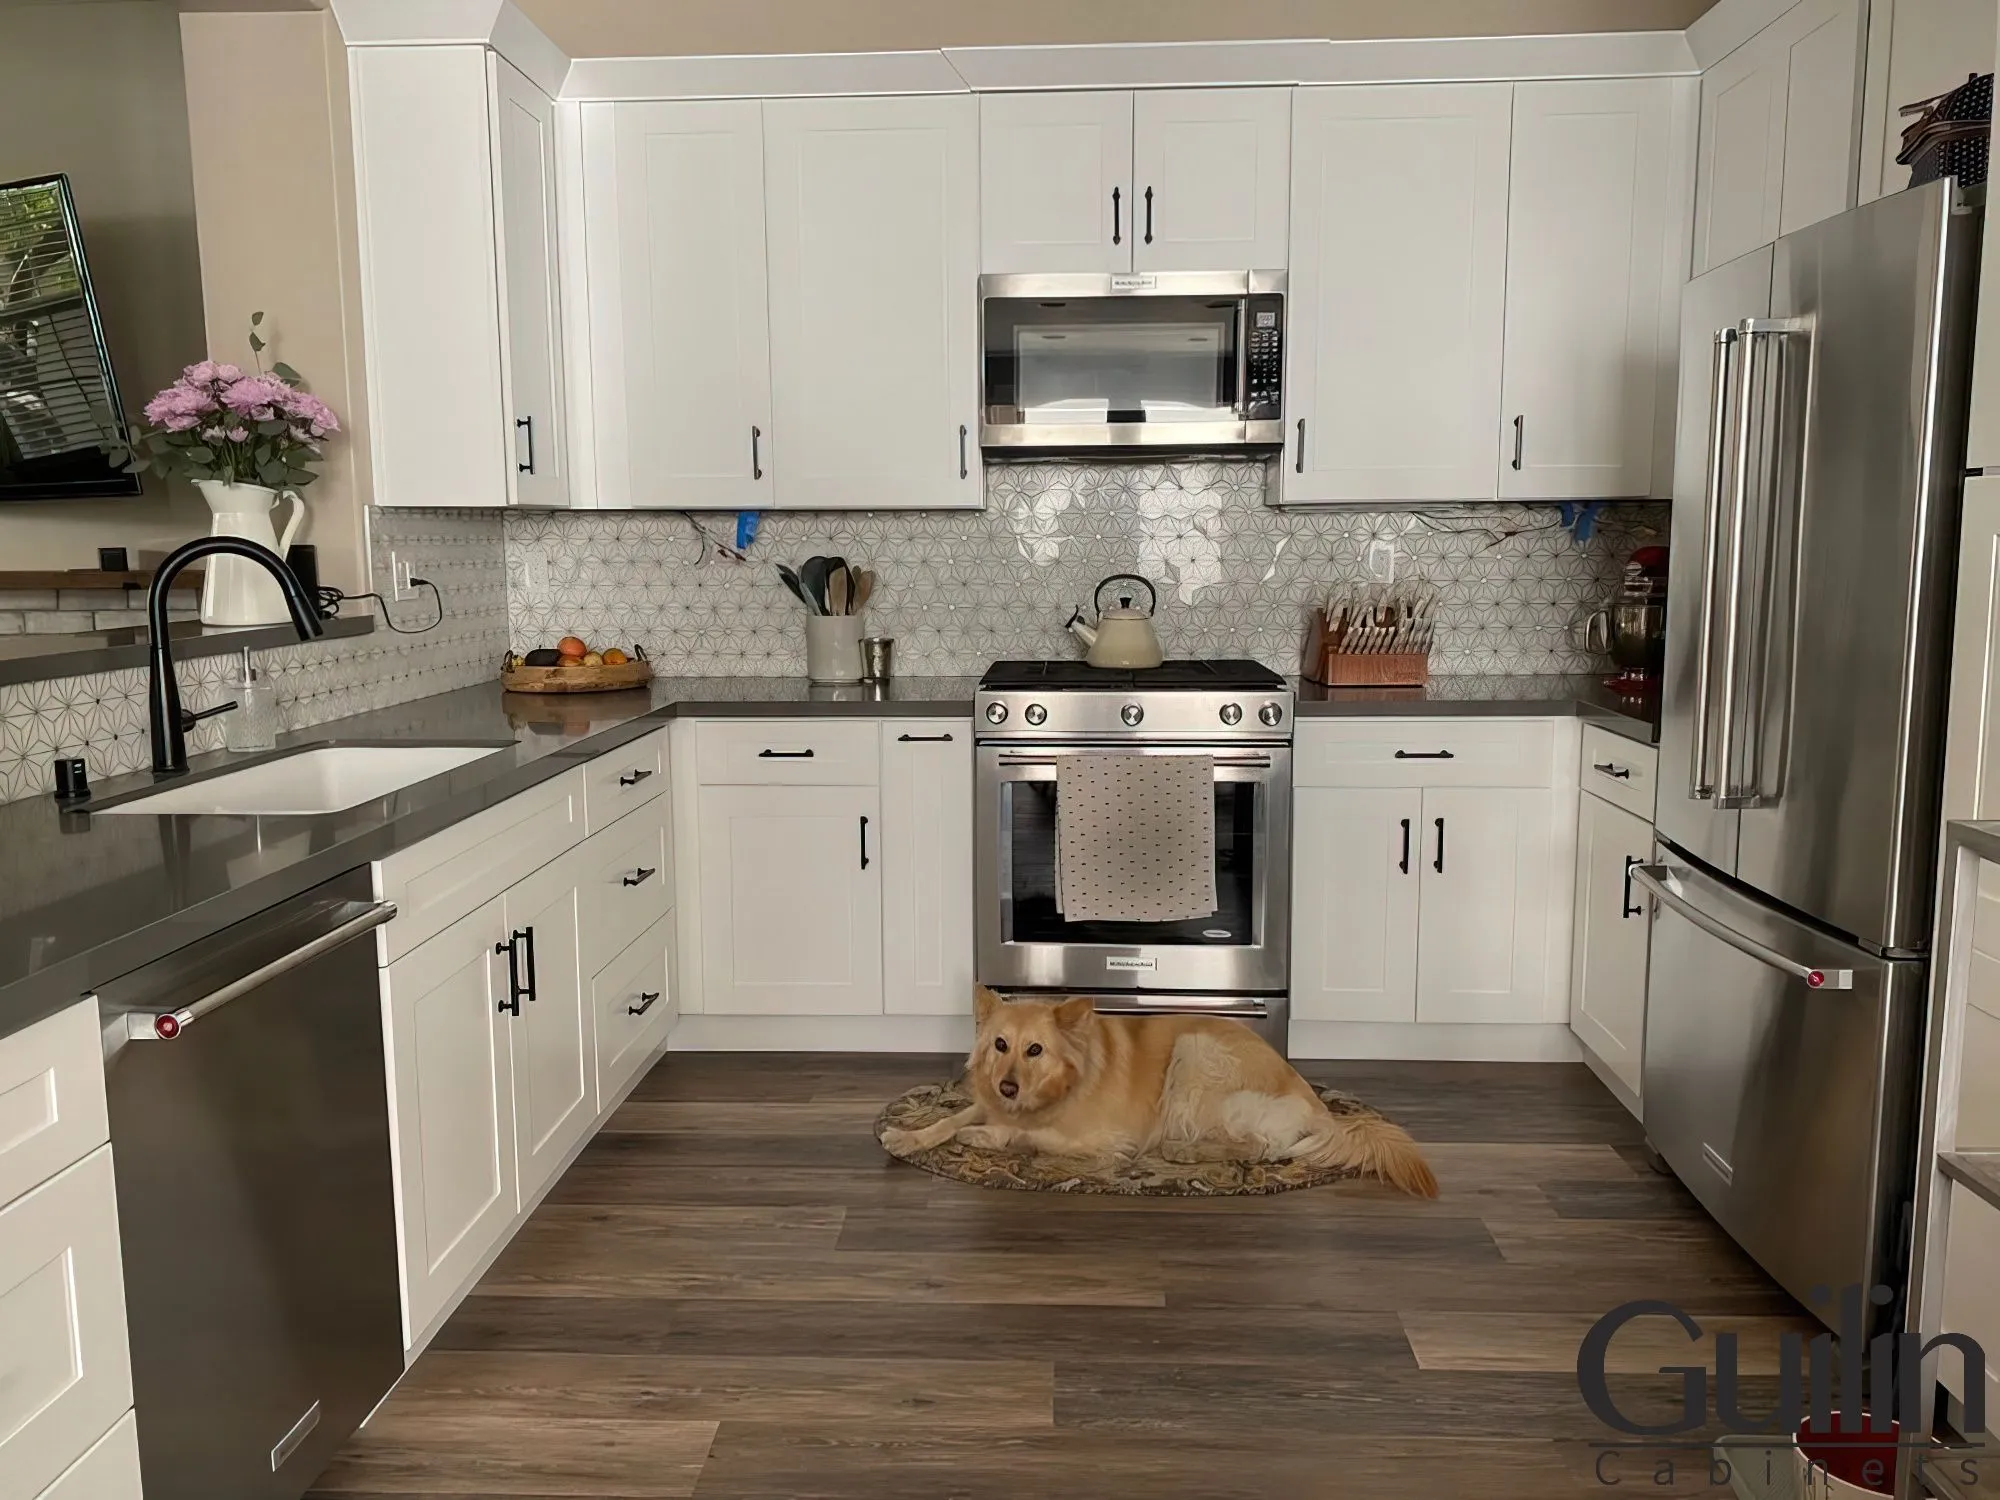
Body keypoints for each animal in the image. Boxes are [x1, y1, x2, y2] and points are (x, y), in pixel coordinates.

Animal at [880, 992, 1440, 1208]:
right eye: (1000, 1045)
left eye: (1035, 1049)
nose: (1007, 1086)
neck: (1061, 1083)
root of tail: (1320, 1107)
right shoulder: (991, 1100)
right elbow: (947, 1121)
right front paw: (907, 1136)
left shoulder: (1108, 1140)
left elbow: (1022, 1134)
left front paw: (984, 1137)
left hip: (1195, 1054)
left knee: (1256, 1147)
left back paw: (1182, 1153)